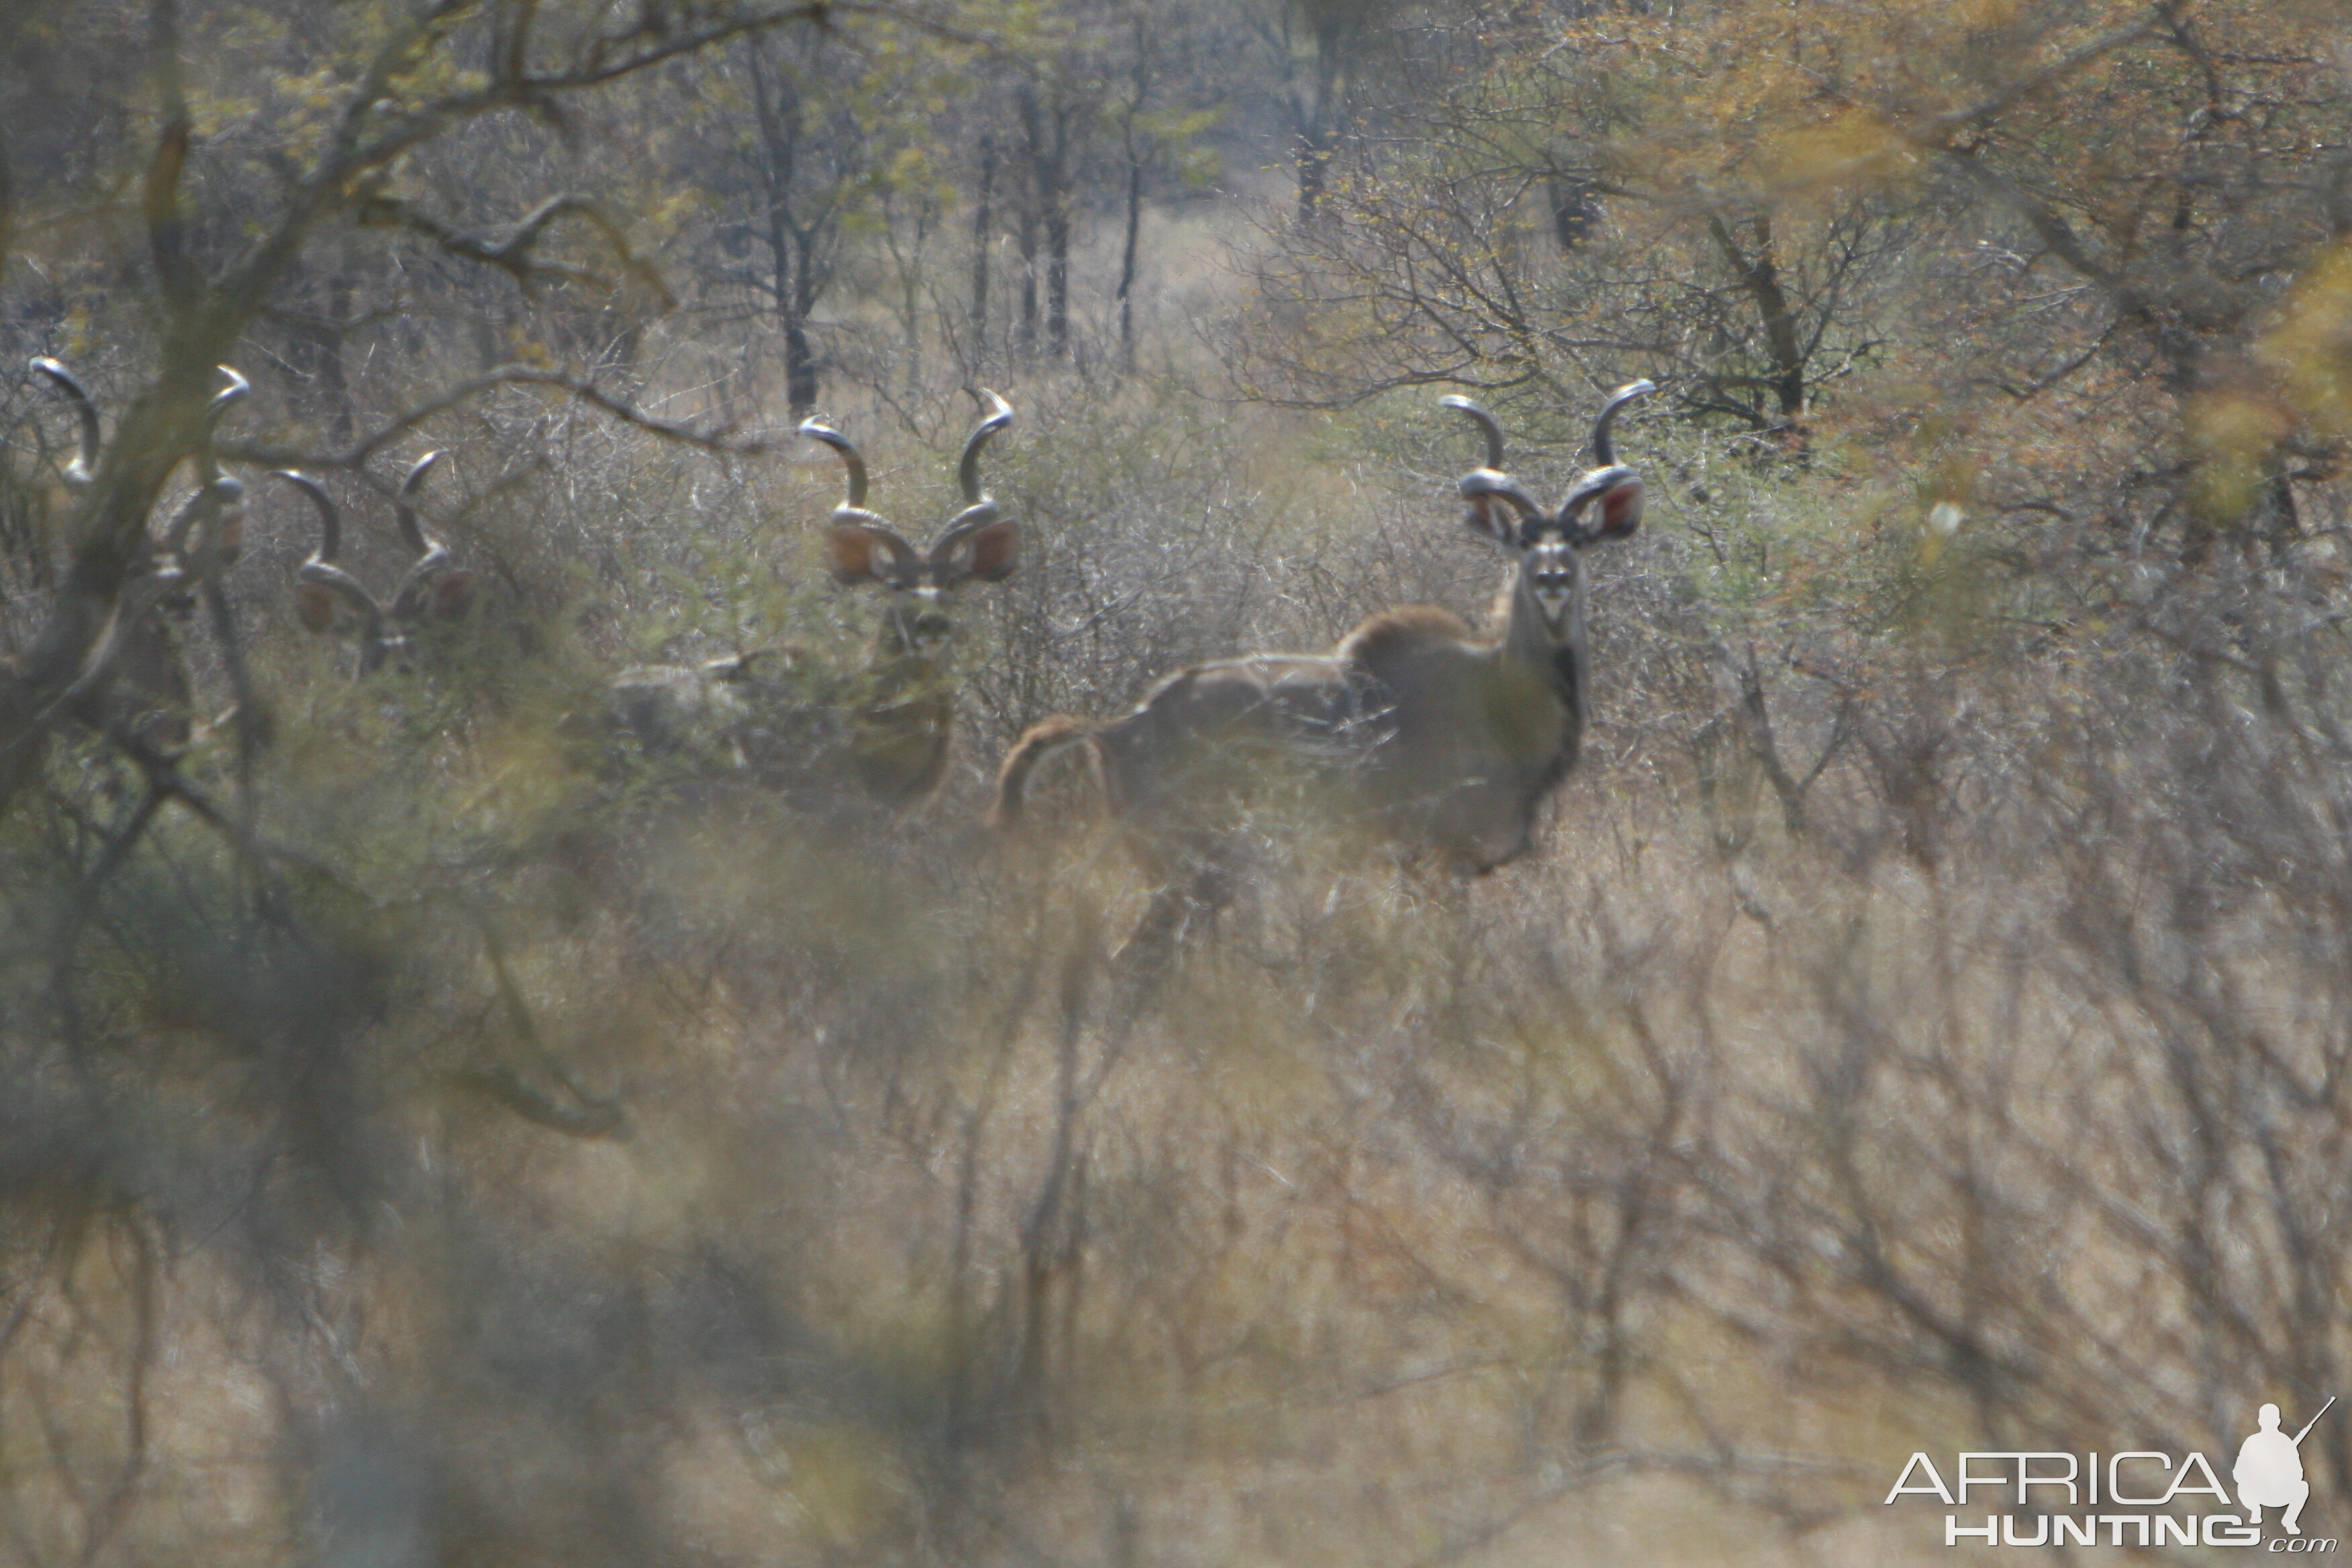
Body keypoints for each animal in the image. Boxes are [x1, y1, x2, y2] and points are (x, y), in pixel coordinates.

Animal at [992, 378, 1655, 879]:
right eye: (1522, 541)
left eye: (1578, 540)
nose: (1551, 579)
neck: (1492, 694)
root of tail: (1119, 727)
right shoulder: (1441, 859)